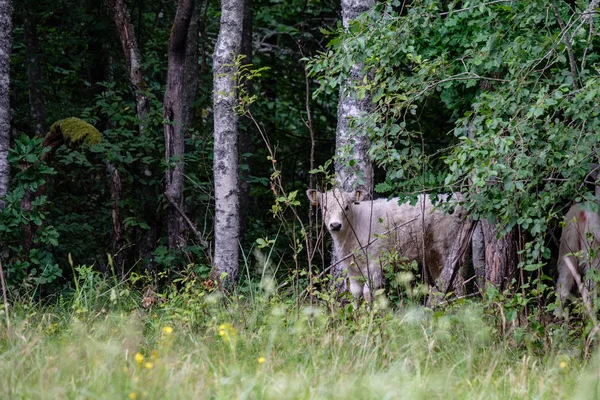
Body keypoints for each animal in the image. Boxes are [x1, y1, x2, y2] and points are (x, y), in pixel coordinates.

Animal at [310, 189, 468, 302]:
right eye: (325, 207)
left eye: (347, 207)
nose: (335, 225)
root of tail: (458, 197)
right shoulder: (350, 267)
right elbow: (355, 293)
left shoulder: (375, 263)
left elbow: (368, 293)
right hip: (433, 255)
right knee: (442, 281)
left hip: (450, 248)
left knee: (458, 281)